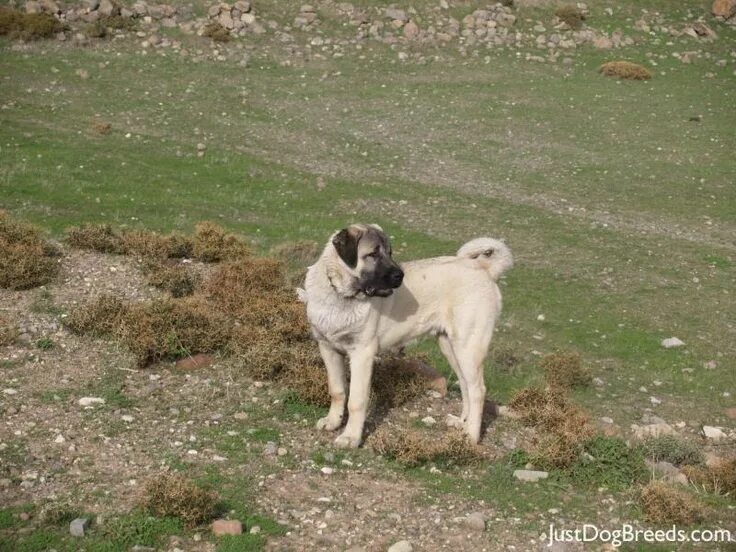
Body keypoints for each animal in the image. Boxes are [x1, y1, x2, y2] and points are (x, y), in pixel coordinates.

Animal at [300, 222, 512, 446]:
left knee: (477, 390)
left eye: (390, 252)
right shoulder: (328, 349)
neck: (340, 295)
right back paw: (462, 423)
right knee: (466, 385)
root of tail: (484, 269)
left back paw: (471, 435)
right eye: (373, 254)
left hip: (468, 347)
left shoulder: (362, 354)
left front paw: (351, 437)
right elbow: (337, 390)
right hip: (451, 347)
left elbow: (356, 401)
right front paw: (333, 421)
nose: (399, 276)